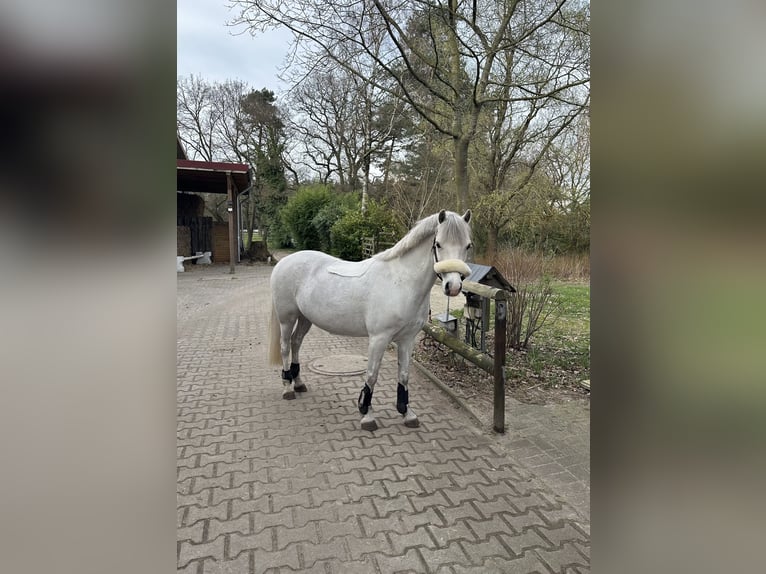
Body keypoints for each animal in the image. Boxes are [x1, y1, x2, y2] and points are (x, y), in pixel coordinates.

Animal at [270, 209, 474, 430]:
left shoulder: (407, 340)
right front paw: (366, 414)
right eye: (438, 244)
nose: (453, 286)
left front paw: (407, 413)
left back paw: (298, 383)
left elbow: (404, 375)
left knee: (296, 342)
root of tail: (284, 262)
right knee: (285, 346)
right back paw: (287, 387)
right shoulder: (379, 338)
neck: (401, 282)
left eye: (468, 245)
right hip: (287, 319)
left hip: (305, 318)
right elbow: (372, 375)